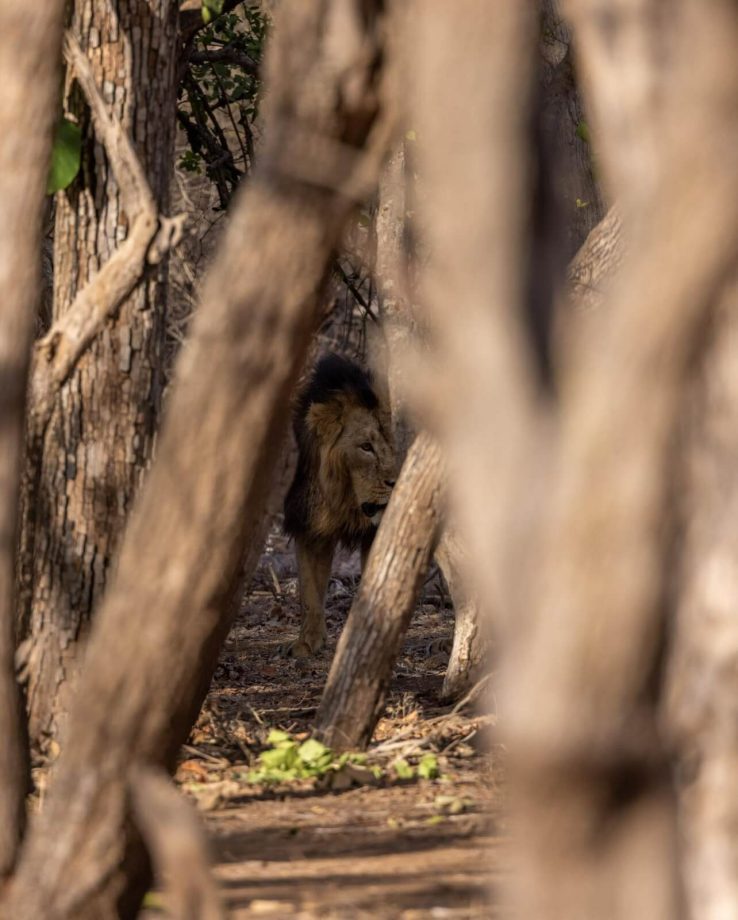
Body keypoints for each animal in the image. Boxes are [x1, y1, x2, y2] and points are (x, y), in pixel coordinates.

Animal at [282, 348, 396, 656]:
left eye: (393, 443)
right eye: (365, 447)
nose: (396, 481)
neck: (342, 500)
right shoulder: (310, 526)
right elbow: (310, 590)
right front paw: (308, 642)